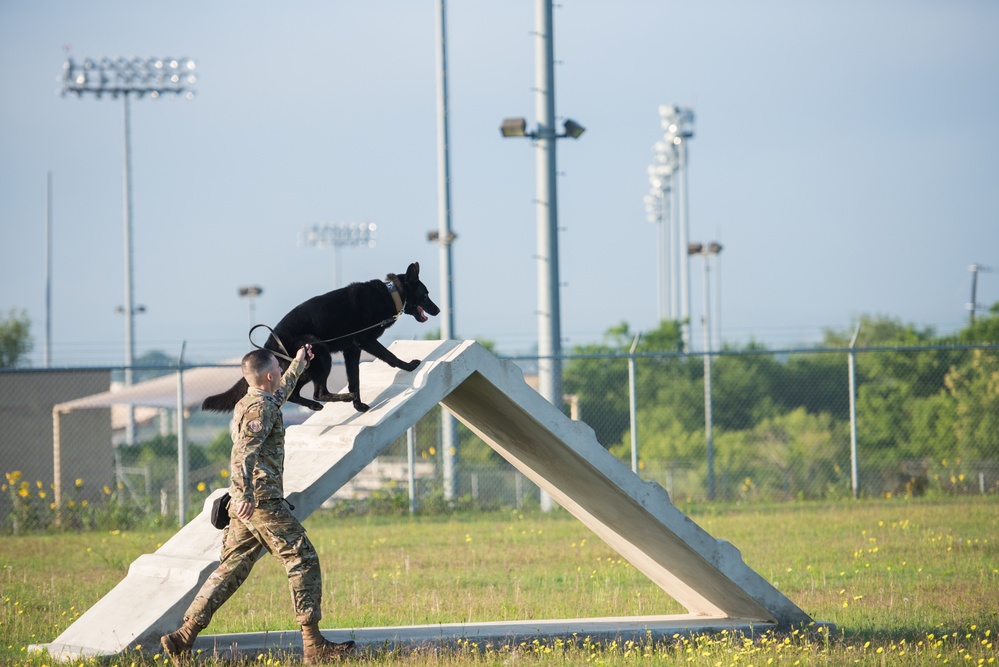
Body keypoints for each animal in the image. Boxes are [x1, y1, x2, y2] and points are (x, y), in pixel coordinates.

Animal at [202, 260, 438, 412]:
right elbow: (390, 357)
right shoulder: (366, 341)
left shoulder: (352, 350)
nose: (438, 310)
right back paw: (337, 398)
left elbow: (355, 379)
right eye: (426, 294)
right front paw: (409, 366)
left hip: (307, 365)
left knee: (295, 393)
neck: (392, 293)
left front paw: (359, 405)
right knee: (318, 392)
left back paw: (318, 404)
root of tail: (269, 344)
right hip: (319, 351)